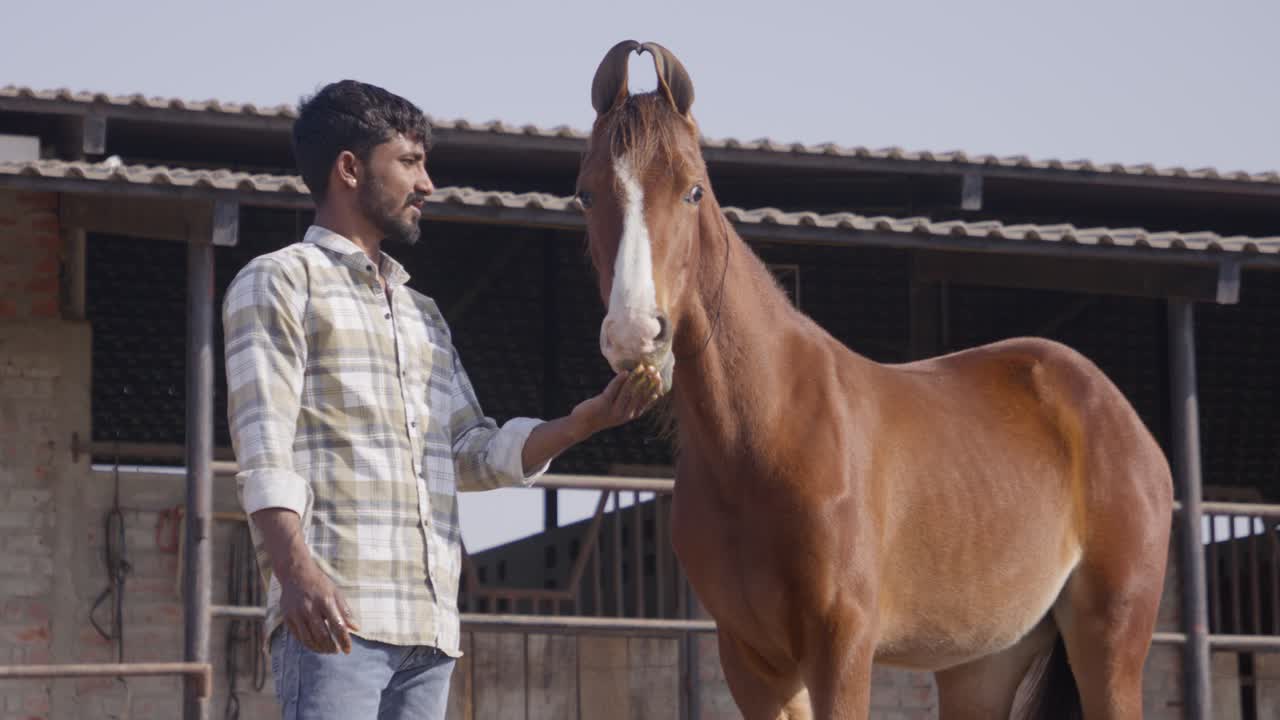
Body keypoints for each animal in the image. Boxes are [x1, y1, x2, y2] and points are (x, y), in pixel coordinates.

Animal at [573, 40, 1174, 720]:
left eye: (693, 191)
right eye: (586, 194)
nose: (635, 333)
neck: (766, 432)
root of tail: (1120, 418)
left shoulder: (841, 648)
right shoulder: (752, 661)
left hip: (1110, 641)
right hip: (983, 663)